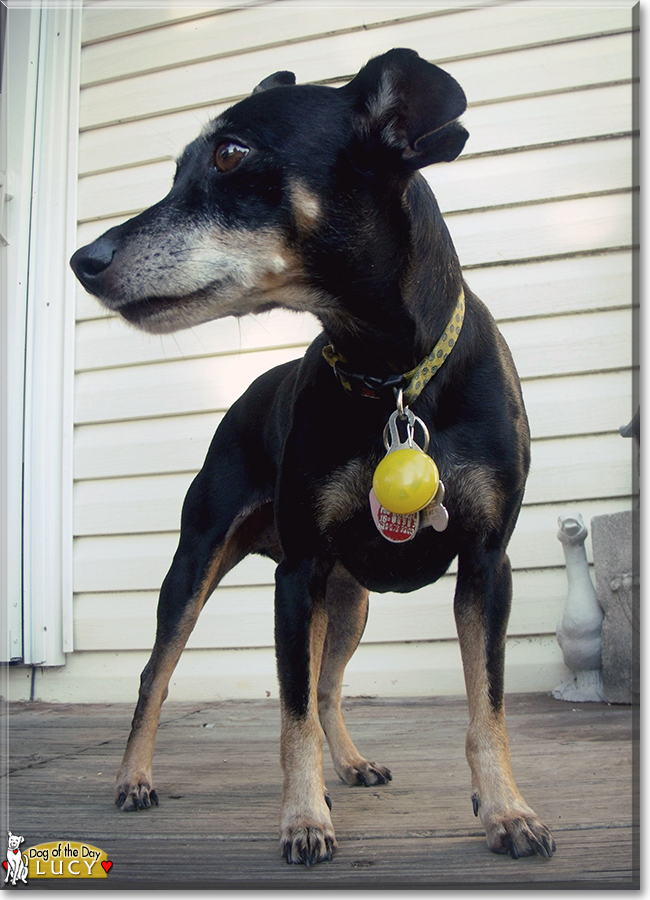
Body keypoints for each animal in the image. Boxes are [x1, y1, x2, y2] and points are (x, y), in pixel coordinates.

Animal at [72, 47, 556, 864]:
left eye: (230, 154)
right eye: (175, 171)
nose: (84, 258)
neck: (392, 377)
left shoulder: (488, 565)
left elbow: (484, 707)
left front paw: (507, 810)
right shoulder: (296, 577)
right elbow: (289, 716)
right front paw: (303, 819)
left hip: (348, 597)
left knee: (329, 684)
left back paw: (352, 764)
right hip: (199, 563)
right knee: (156, 675)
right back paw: (134, 778)